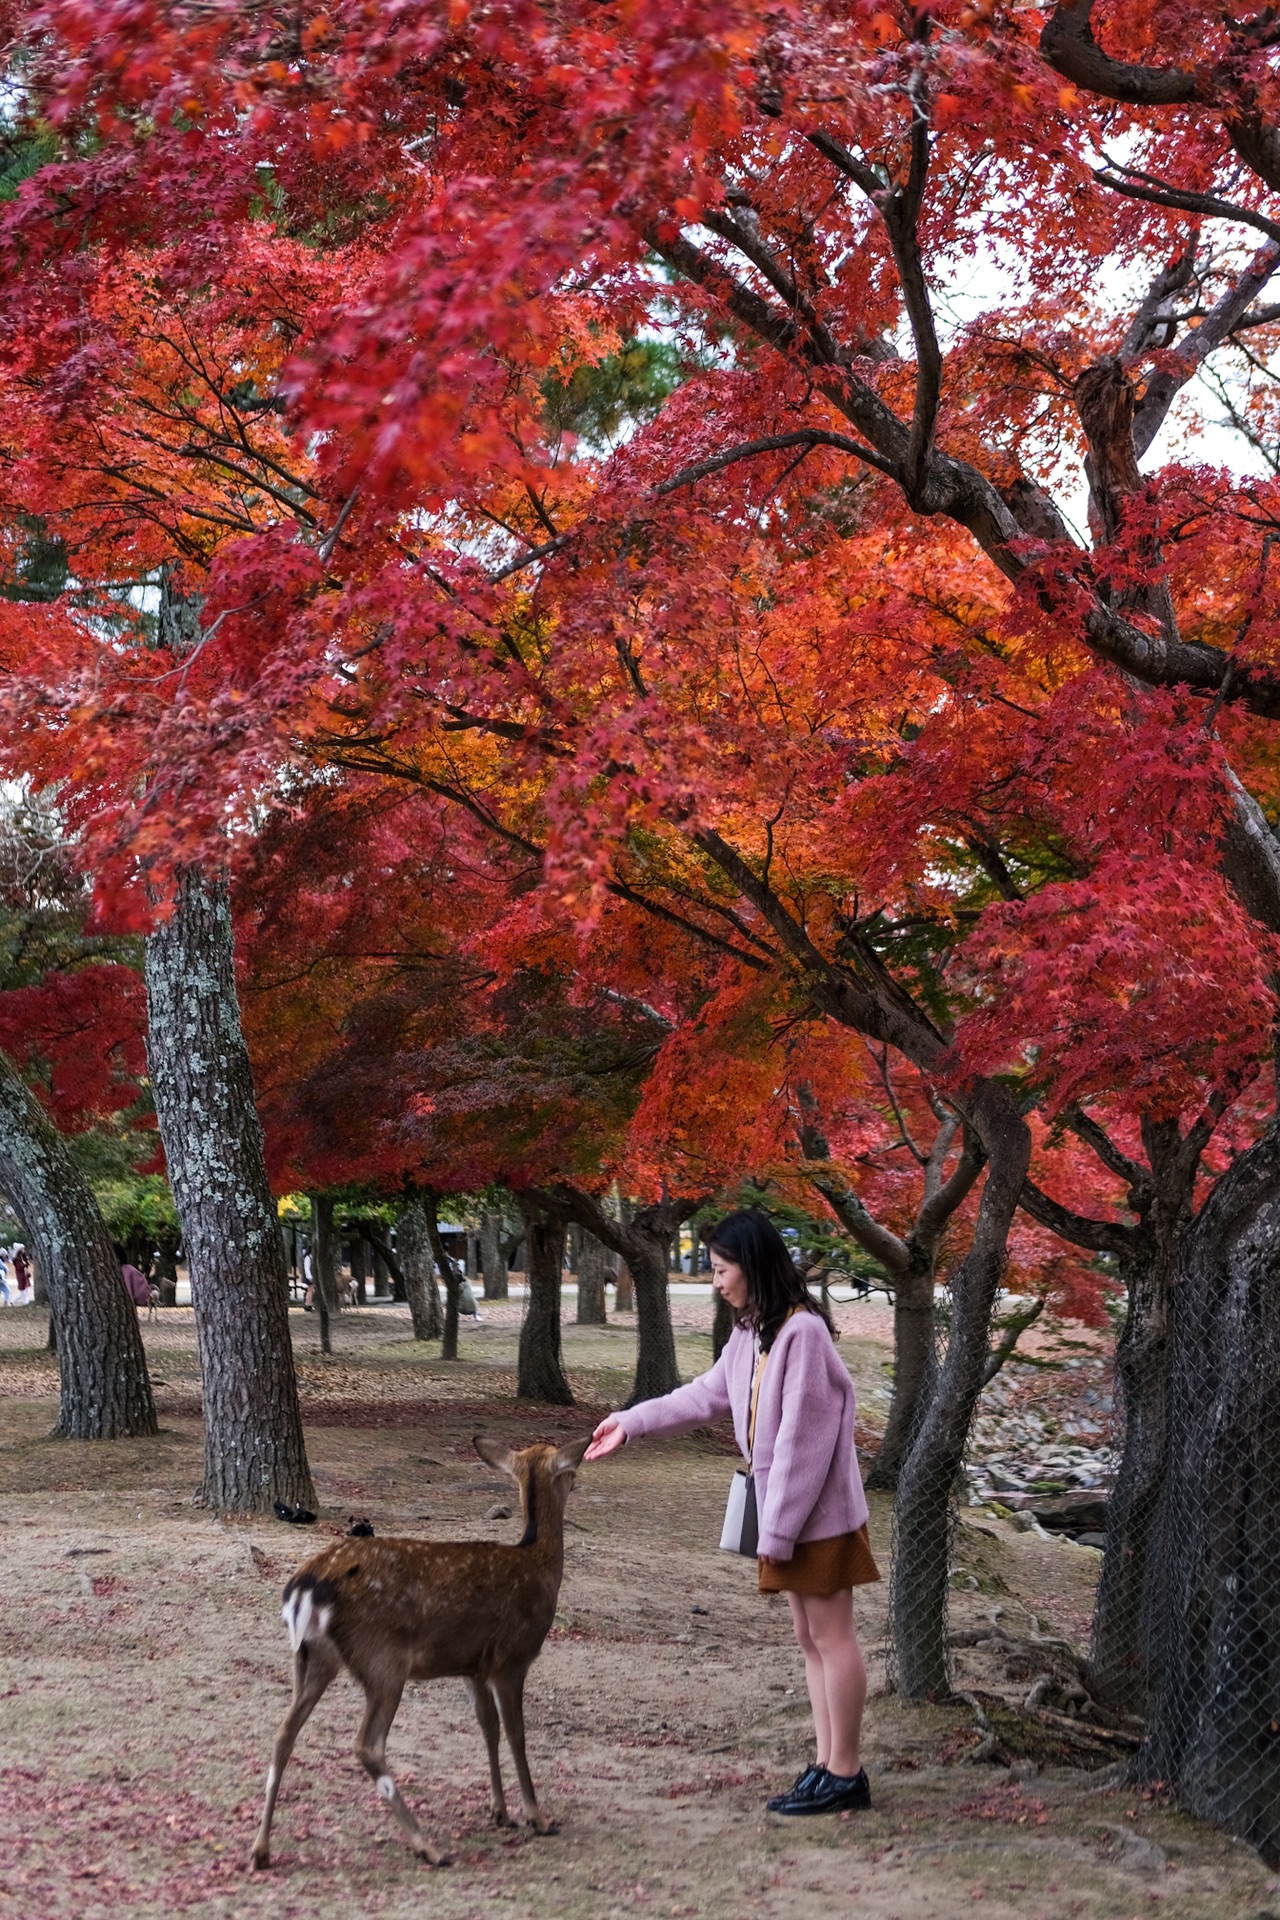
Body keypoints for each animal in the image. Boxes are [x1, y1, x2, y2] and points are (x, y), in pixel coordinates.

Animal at [249, 1436, 591, 1866]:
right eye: (567, 1471)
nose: (579, 1480)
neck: (538, 1564)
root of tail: (305, 1587)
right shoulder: (511, 1659)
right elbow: (516, 1733)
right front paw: (536, 1817)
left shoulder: (472, 1668)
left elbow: (488, 1728)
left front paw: (499, 1812)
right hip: (383, 1659)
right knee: (367, 1744)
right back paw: (426, 1845)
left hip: (312, 1658)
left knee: (283, 1733)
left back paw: (261, 1849)